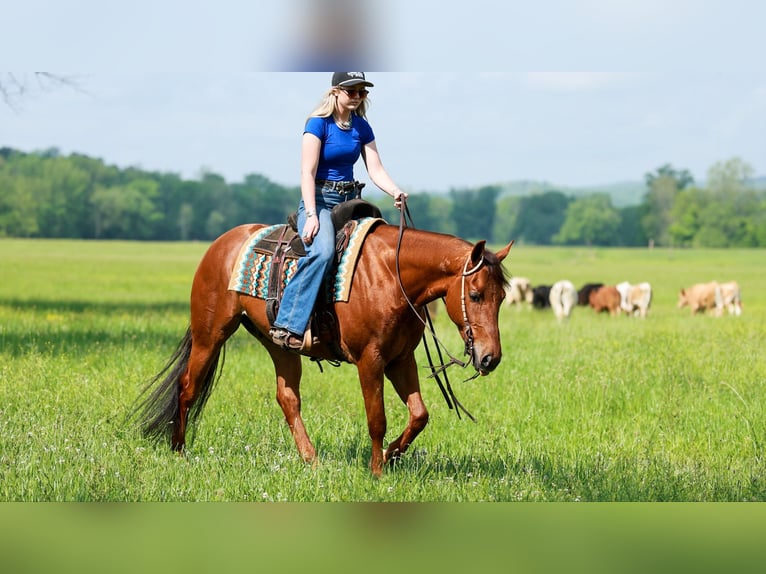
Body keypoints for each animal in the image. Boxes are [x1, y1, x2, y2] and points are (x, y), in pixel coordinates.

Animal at [132, 220, 514, 476]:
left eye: (502, 298)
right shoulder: (371, 360)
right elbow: (377, 419)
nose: (490, 358)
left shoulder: (401, 359)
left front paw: (391, 456)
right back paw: (179, 452)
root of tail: (221, 244)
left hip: (279, 345)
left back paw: (311, 459)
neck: (392, 276)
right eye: (475, 295)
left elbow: (419, 415)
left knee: (287, 398)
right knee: (187, 387)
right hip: (210, 334)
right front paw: (377, 472)